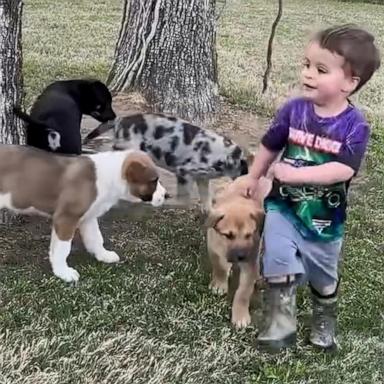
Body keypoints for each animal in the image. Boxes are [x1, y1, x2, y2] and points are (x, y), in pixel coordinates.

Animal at [0, 144, 166, 282]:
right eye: (154, 180)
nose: (166, 195)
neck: (111, 176)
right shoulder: (66, 218)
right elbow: (63, 248)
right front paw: (64, 272)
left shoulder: (89, 218)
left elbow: (96, 238)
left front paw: (103, 255)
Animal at [83, 112, 249, 212]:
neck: (226, 156)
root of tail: (120, 120)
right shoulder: (184, 171)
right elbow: (184, 198)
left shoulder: (202, 178)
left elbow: (206, 198)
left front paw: (210, 213)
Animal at [206, 176, 272, 328]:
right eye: (228, 235)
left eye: (248, 235)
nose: (241, 256)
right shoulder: (213, 246)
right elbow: (219, 266)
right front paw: (219, 284)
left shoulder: (250, 262)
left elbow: (243, 292)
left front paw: (240, 315)